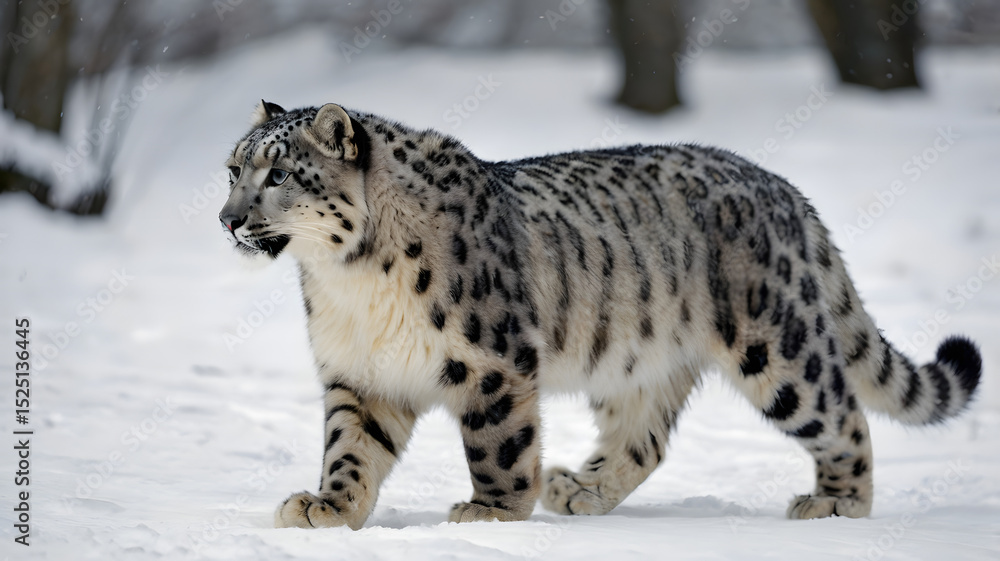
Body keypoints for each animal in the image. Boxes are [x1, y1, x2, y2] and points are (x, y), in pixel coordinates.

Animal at [218, 100, 982, 529]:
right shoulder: (359, 371)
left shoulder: (492, 361)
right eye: (233, 168)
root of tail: (784, 189)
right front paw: (328, 506)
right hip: (640, 363)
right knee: (644, 439)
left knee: (843, 414)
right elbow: (350, 447)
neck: (346, 284)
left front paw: (491, 512)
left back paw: (837, 505)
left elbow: (497, 445)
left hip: (777, 345)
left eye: (279, 173)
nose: (227, 218)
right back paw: (580, 488)